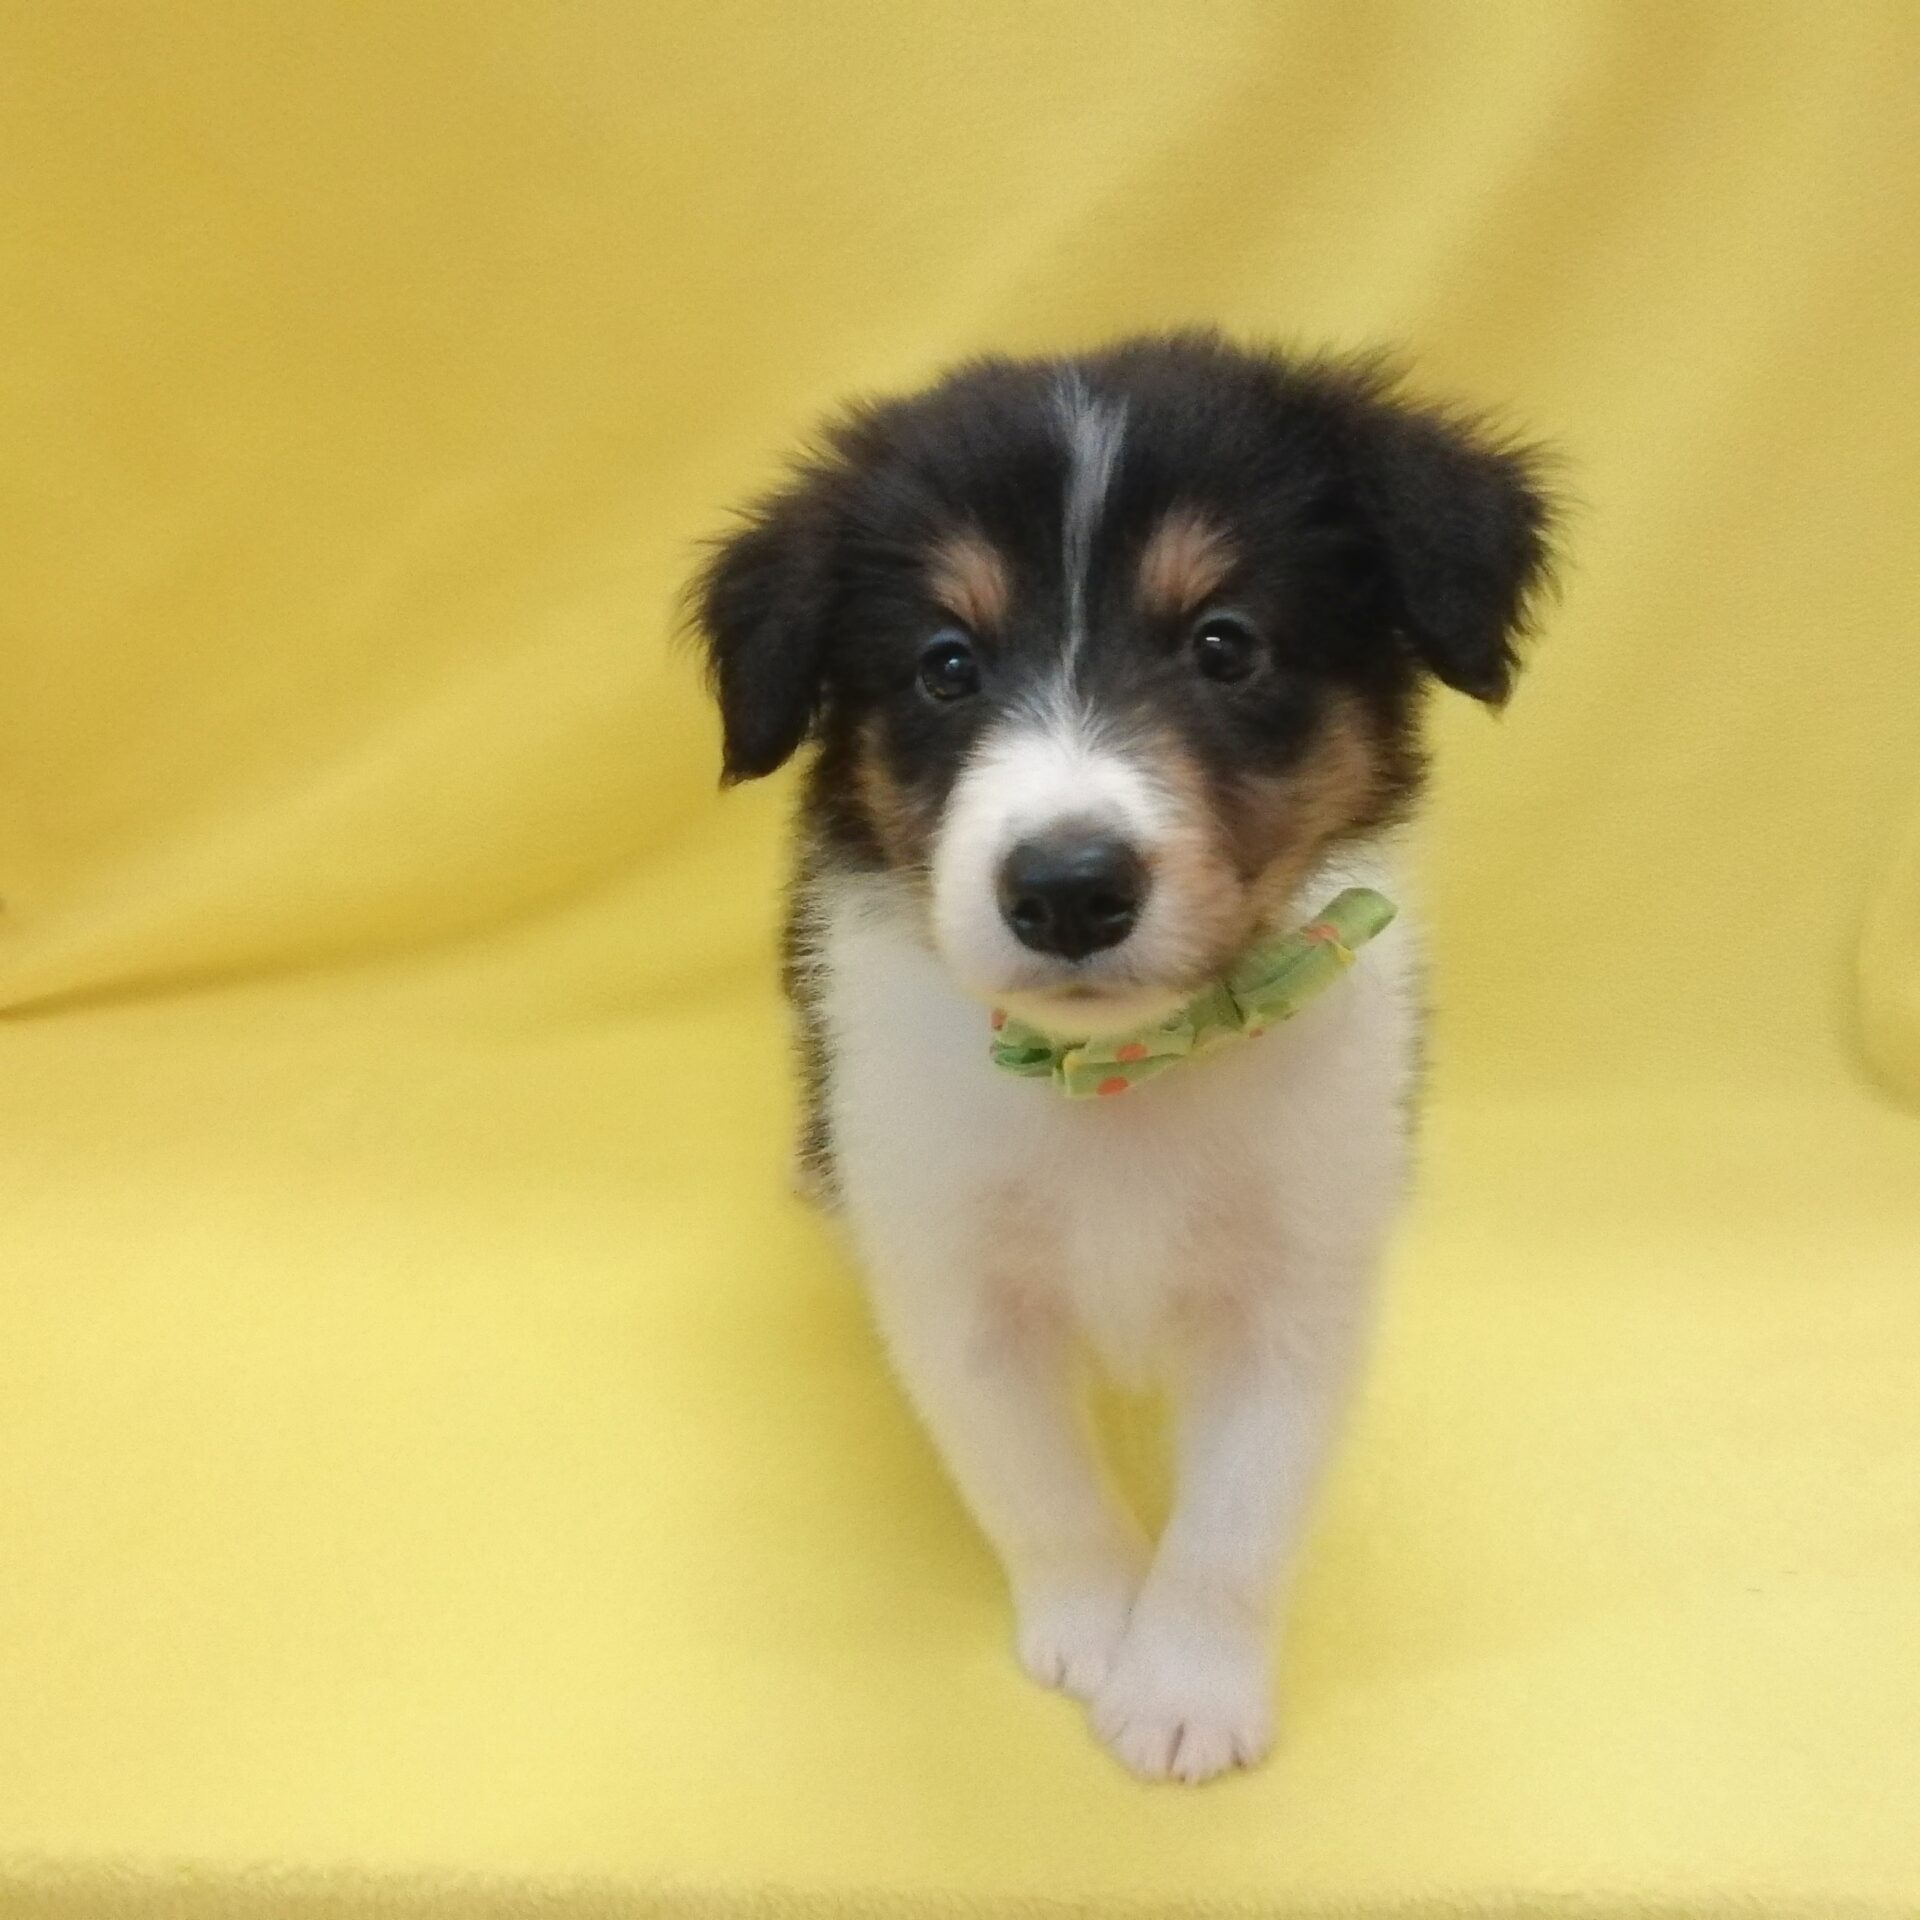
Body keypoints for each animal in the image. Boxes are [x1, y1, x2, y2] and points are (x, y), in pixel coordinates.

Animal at [690, 332, 1556, 1783]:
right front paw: (1093, 1633)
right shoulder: (957, 1287)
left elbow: (1237, 1522)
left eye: (1225, 645)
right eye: (945, 666)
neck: (1126, 1076)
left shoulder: (1303, 1279)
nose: (1068, 889)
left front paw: (1184, 1693)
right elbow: (1039, 1488)